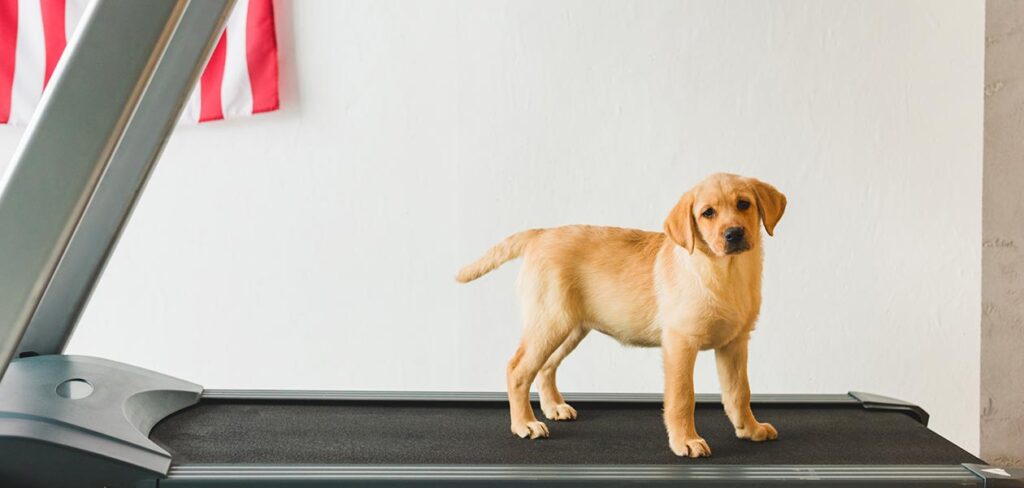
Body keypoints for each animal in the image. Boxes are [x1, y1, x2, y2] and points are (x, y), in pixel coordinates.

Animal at [456, 171, 782, 456]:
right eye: (708, 213)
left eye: (744, 204)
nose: (734, 234)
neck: (725, 273)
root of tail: (541, 234)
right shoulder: (680, 343)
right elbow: (682, 397)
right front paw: (686, 441)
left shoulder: (735, 343)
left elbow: (740, 392)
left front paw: (750, 429)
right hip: (549, 321)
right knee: (518, 369)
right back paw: (524, 423)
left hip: (569, 327)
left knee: (546, 367)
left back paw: (553, 408)